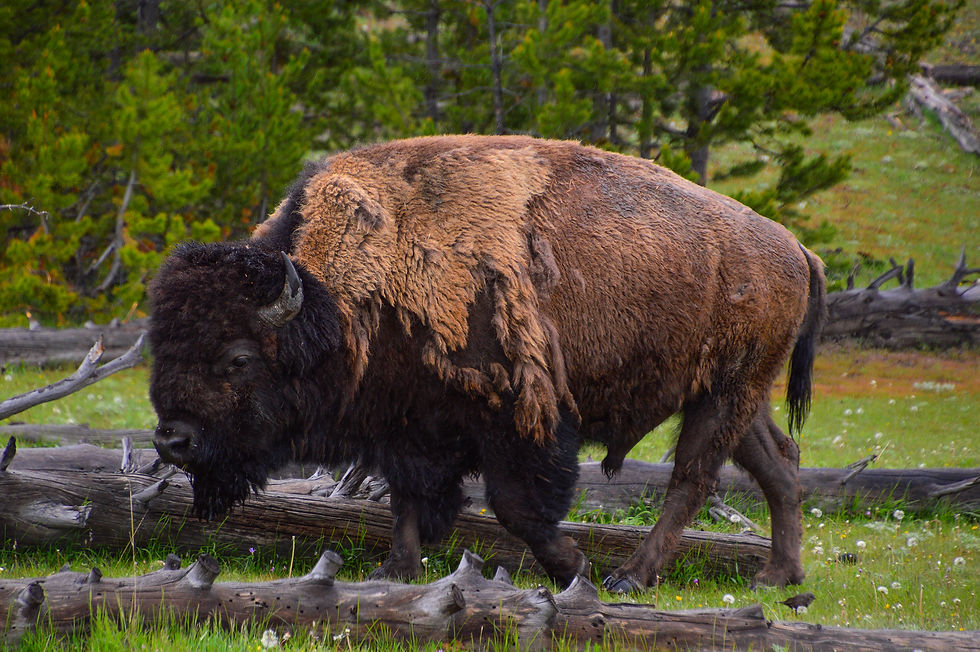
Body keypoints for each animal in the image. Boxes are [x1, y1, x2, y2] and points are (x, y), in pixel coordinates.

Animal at [149, 135, 825, 593]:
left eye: (237, 358)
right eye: (162, 346)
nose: (171, 439)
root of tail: (794, 246)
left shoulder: (517, 419)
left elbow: (515, 506)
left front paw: (573, 566)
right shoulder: (407, 424)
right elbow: (407, 499)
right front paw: (395, 570)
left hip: (727, 391)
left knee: (691, 478)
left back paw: (631, 577)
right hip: (731, 394)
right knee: (779, 464)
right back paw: (778, 577)